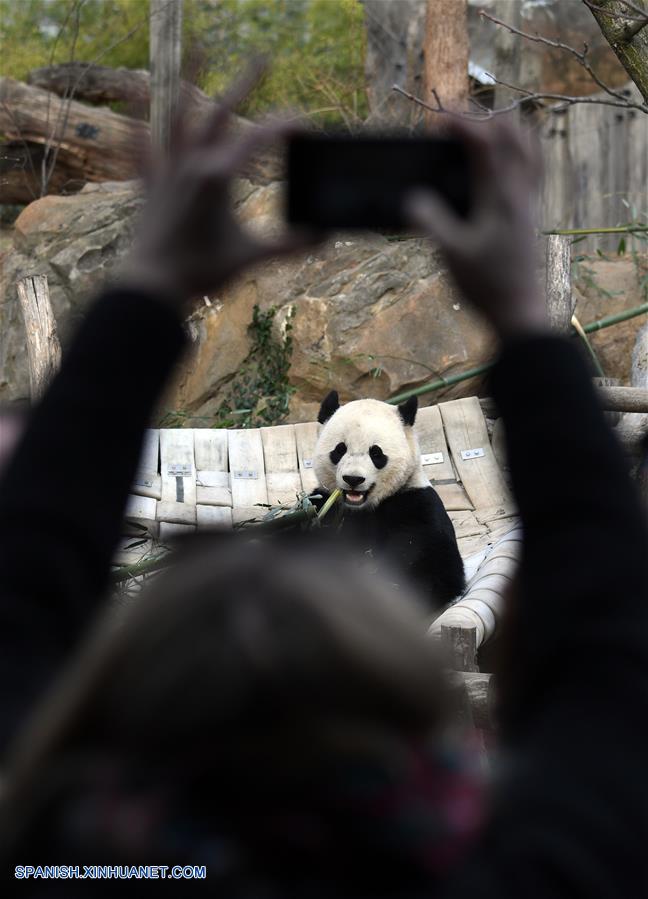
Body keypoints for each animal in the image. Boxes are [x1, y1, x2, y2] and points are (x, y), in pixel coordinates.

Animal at [314, 388, 466, 608]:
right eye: (340, 449)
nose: (353, 479)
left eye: (376, 453)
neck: (362, 508)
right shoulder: (324, 504)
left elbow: (434, 559)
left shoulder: (415, 502)